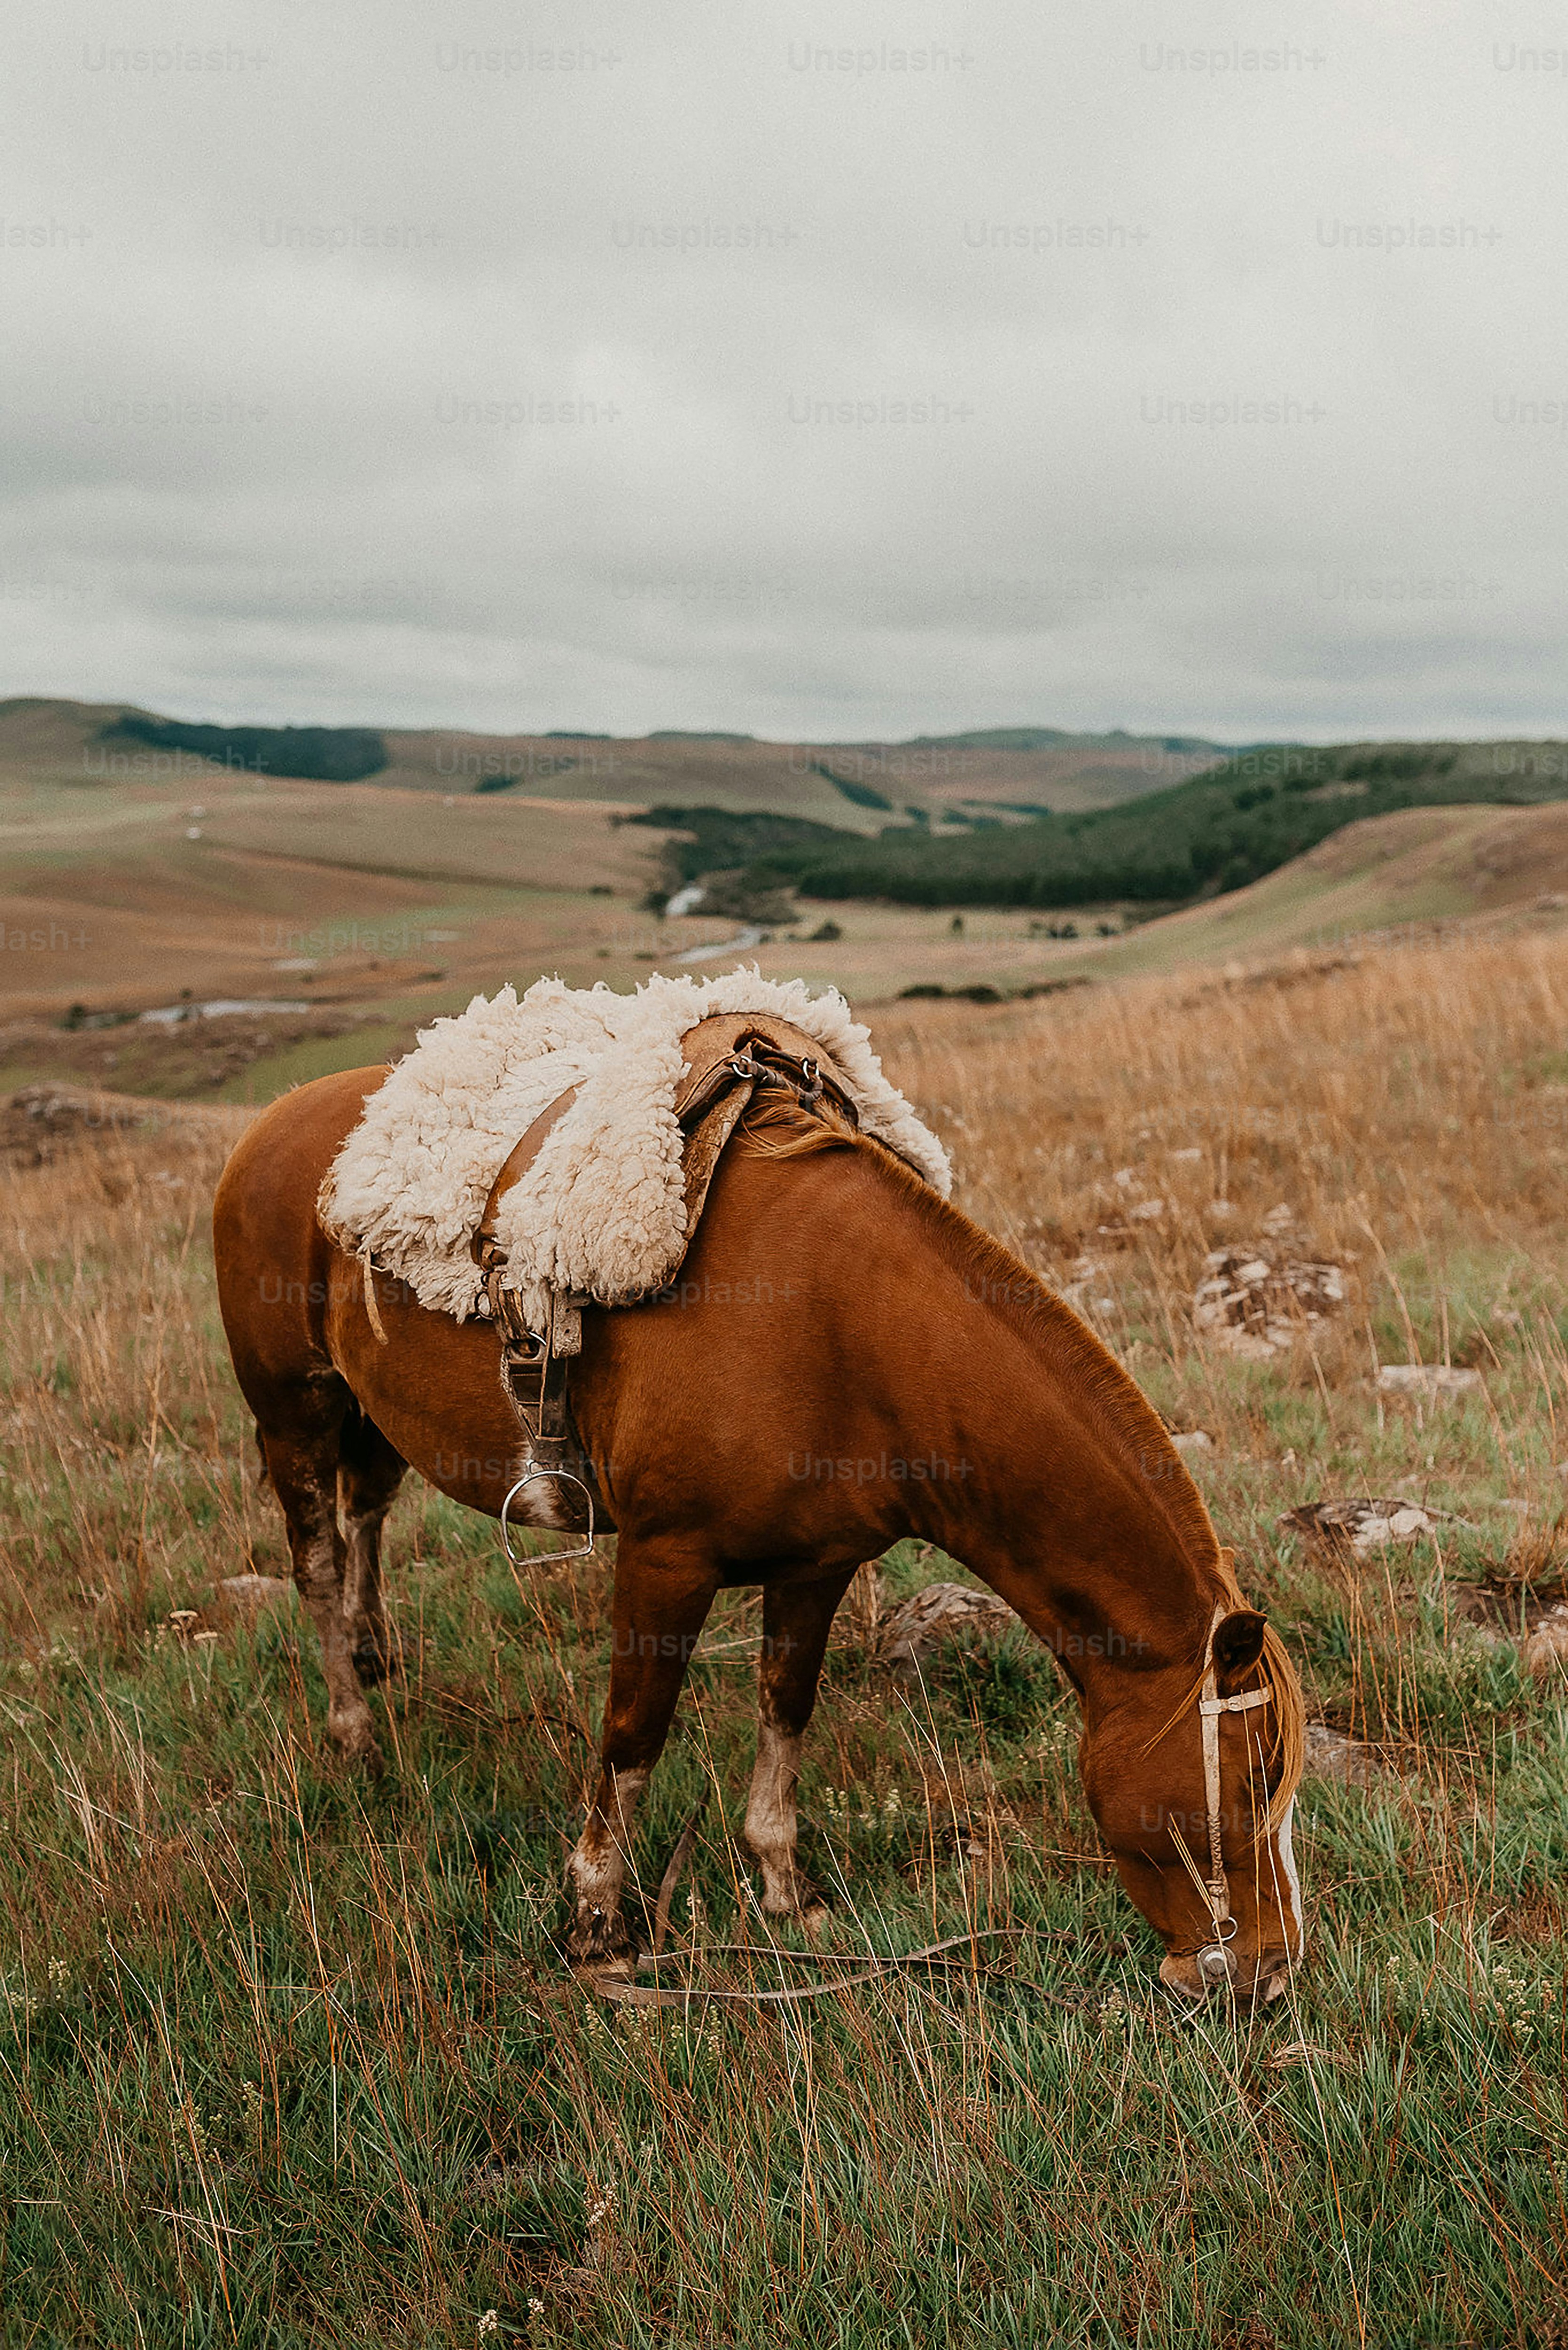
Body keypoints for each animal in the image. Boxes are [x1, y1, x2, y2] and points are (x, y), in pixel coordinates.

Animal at [212, 1066, 1306, 2002]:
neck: (841, 1336)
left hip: (370, 1413)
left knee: (367, 1512)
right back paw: (354, 1729)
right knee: (316, 1560)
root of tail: (267, 1125)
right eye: (1253, 1780)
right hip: (292, 1412)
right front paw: (598, 1926)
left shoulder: (817, 1565)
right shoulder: (665, 1559)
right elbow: (633, 1735)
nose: (1269, 1971)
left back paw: (374, 1651)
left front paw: (784, 1890)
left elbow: (787, 1709)